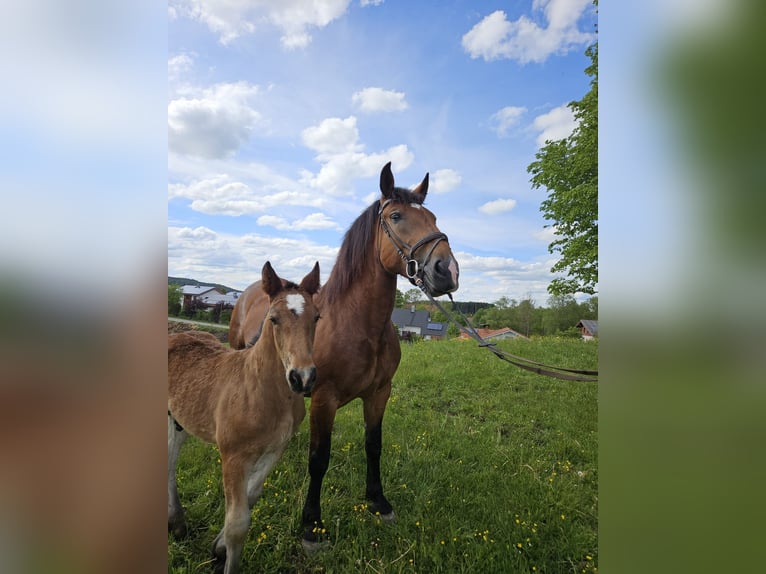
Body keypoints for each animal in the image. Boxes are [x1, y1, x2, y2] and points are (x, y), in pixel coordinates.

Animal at [168, 261, 321, 574]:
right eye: (273, 319)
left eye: (317, 317)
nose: (303, 378)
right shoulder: (233, 456)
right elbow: (237, 523)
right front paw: (225, 553)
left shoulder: (275, 449)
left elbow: (251, 497)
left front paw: (218, 547)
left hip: (180, 419)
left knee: (171, 452)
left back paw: (176, 523)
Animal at [229, 162, 459, 550]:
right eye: (396, 216)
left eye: (432, 217)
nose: (447, 271)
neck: (359, 324)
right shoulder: (325, 398)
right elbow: (319, 459)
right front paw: (311, 525)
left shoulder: (379, 393)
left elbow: (373, 445)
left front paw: (378, 502)